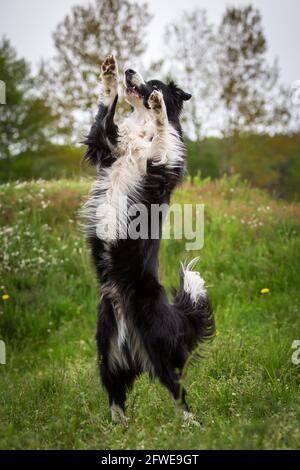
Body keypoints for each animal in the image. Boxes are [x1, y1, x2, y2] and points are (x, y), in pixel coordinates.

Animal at [79, 54, 214, 426]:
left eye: (156, 83)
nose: (129, 71)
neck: (139, 128)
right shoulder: (106, 145)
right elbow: (106, 109)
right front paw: (108, 73)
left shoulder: (161, 164)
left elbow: (164, 132)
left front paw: (158, 108)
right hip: (104, 347)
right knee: (115, 392)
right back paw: (119, 427)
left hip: (157, 346)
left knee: (177, 390)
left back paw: (192, 424)